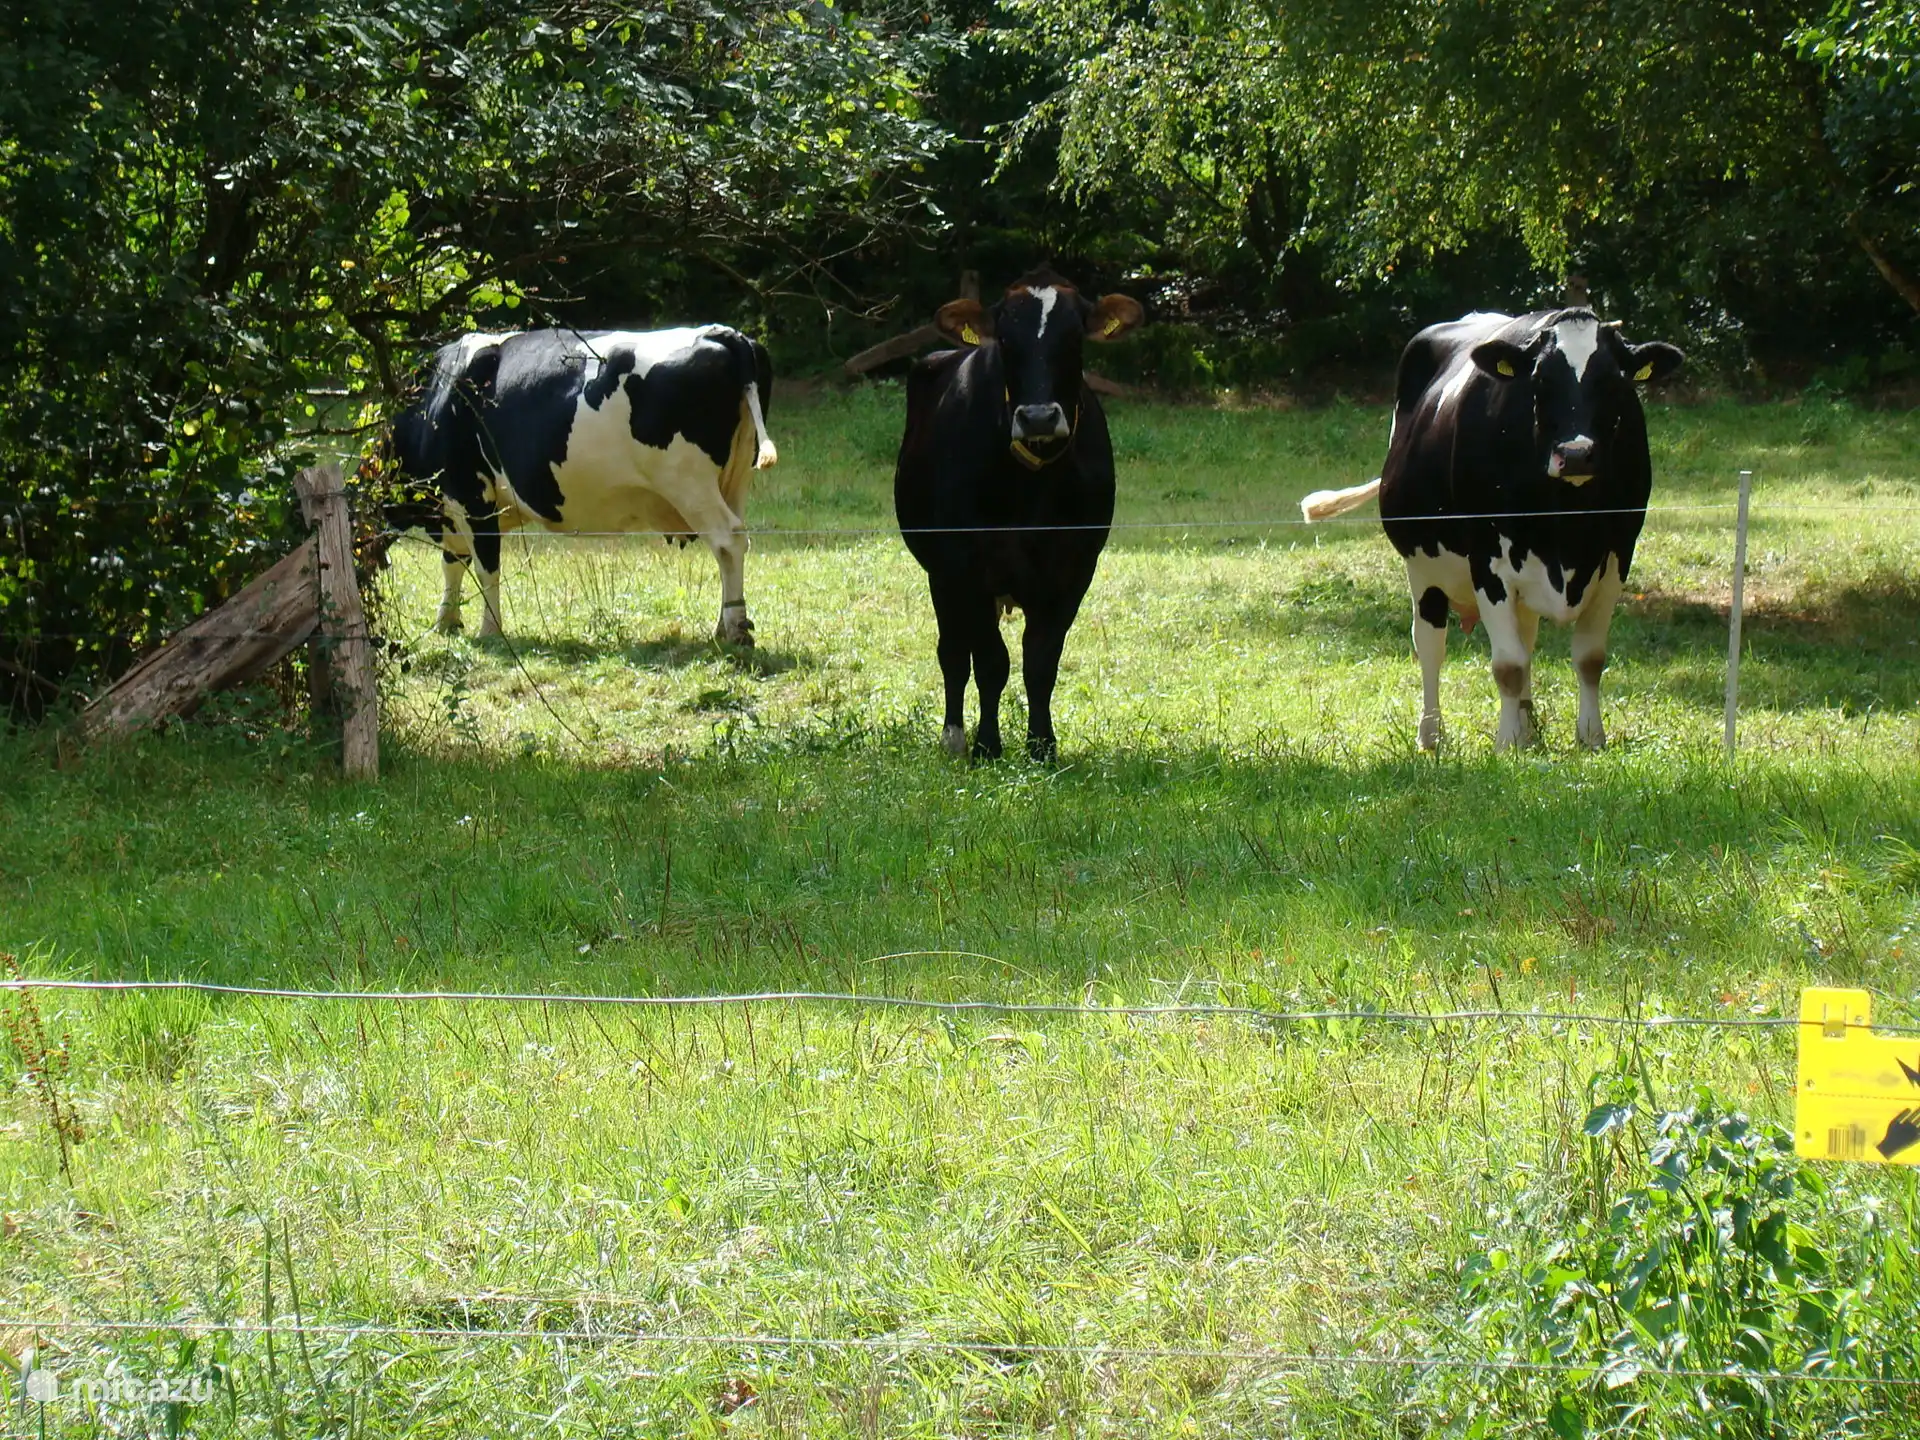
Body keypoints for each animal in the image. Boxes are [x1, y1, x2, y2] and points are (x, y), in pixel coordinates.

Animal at [388, 325, 776, 644]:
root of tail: (719, 333)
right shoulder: (453, 510)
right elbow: (453, 562)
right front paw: (446, 622)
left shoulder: (472, 496)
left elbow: (486, 566)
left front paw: (490, 630)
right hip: (735, 479)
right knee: (734, 542)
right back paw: (725, 624)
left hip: (688, 481)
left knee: (727, 540)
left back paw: (735, 630)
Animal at [893, 267, 1143, 761]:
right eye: (1006, 341)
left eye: (1074, 338)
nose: (1040, 416)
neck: (1032, 490)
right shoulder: (965, 565)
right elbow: (991, 661)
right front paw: (987, 746)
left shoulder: (1074, 569)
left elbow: (1040, 661)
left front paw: (1042, 745)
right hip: (940, 575)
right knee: (953, 653)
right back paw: (954, 736)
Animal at [1299, 308, 1682, 751]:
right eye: (1539, 380)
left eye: (1615, 381)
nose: (1576, 454)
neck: (1567, 527)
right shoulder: (1488, 560)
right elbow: (1508, 664)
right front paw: (1507, 743)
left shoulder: (1618, 554)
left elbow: (1588, 658)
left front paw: (1589, 738)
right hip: (1423, 568)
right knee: (1430, 645)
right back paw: (1432, 734)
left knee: (1526, 638)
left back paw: (1529, 728)